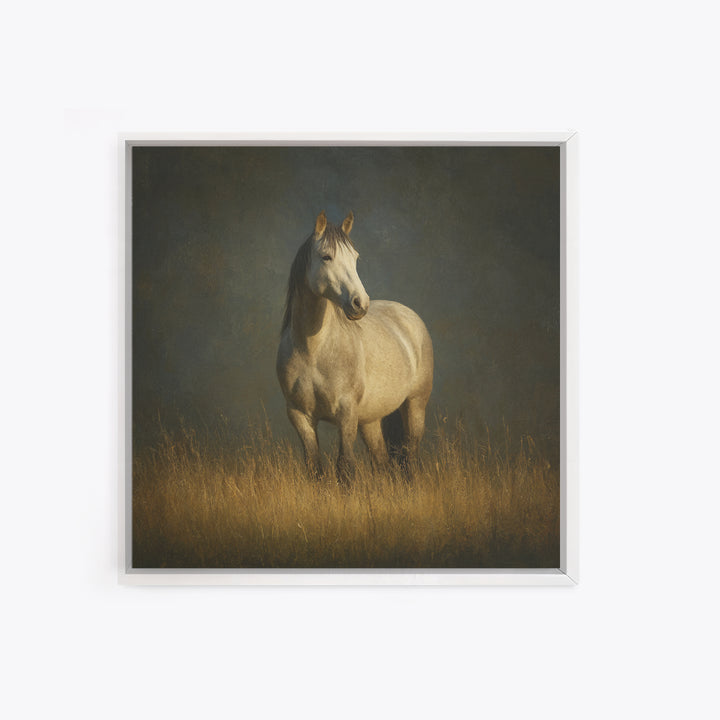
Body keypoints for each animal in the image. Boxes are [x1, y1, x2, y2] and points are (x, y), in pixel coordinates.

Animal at [276, 210, 433, 481]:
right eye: (326, 256)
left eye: (355, 258)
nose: (360, 303)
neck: (313, 350)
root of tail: (408, 315)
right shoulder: (299, 415)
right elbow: (315, 468)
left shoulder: (346, 413)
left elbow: (345, 467)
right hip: (370, 420)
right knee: (382, 462)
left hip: (414, 406)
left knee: (409, 458)